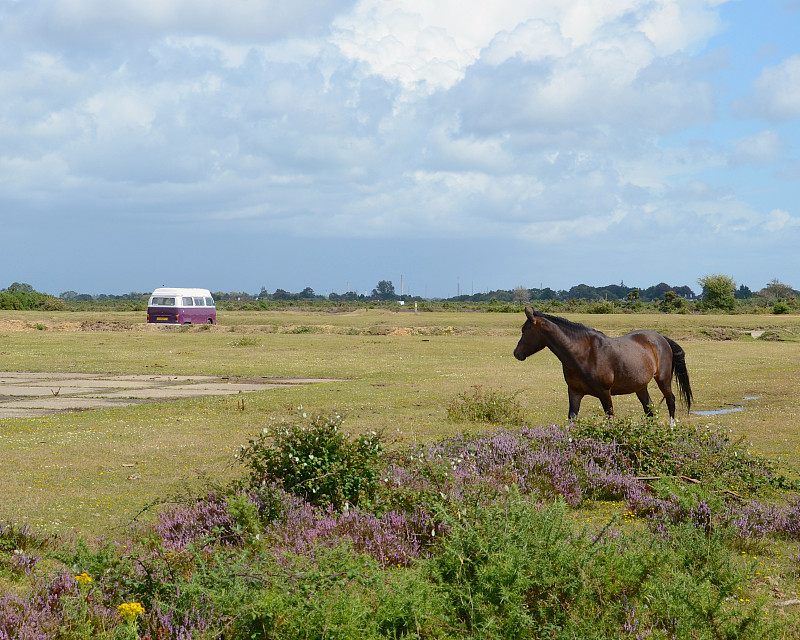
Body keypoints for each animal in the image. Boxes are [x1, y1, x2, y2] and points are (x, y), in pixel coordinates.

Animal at [512, 308, 692, 422]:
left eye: (524, 331)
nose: (516, 353)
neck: (584, 354)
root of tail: (661, 338)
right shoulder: (575, 392)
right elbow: (572, 419)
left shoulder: (605, 393)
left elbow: (610, 419)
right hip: (640, 387)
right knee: (649, 409)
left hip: (663, 380)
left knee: (670, 401)